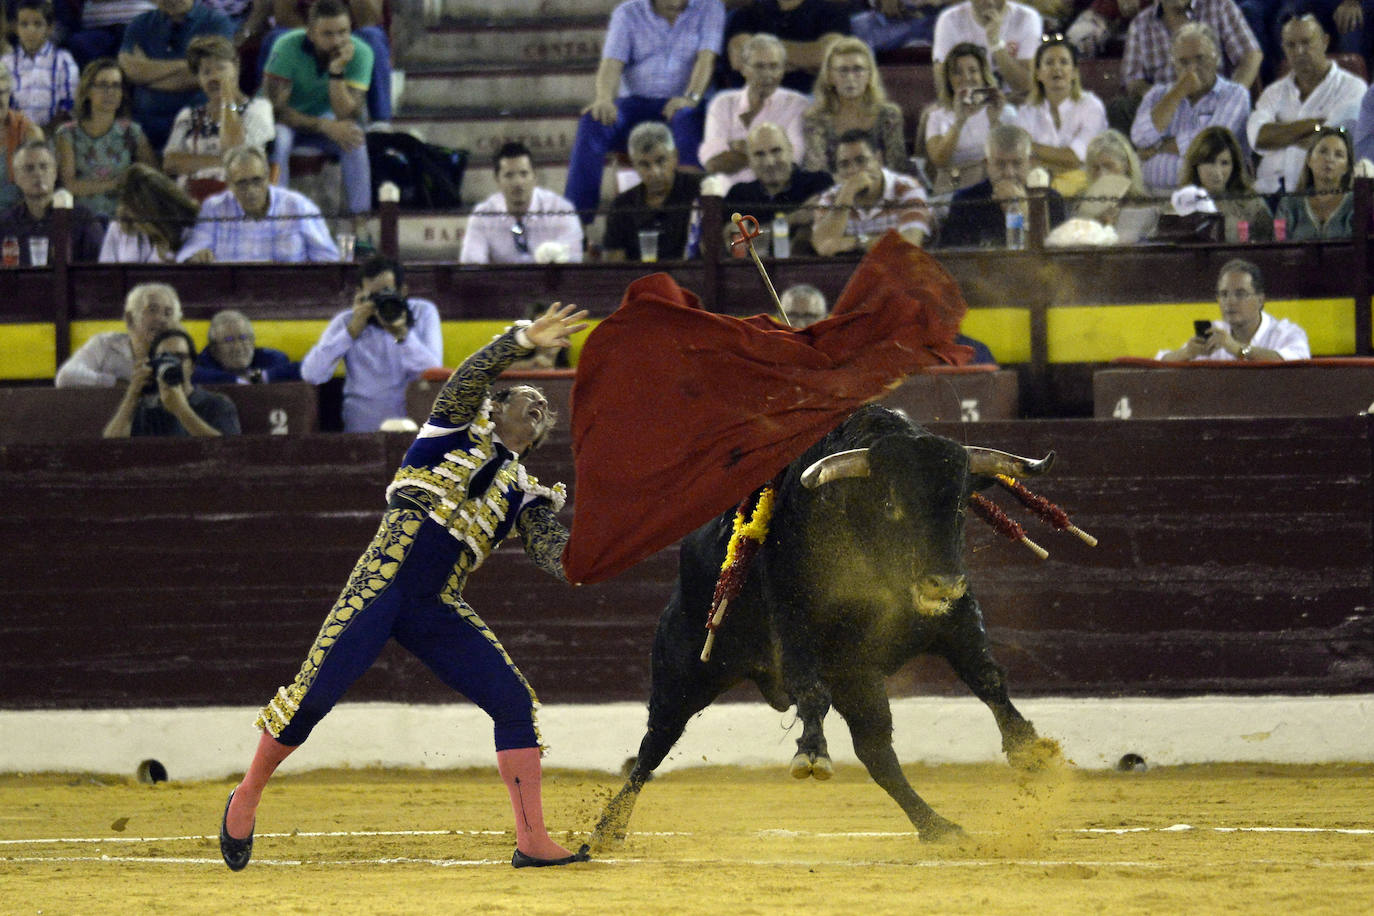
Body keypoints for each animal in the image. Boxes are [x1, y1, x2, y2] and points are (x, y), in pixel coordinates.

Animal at [590, 403, 1060, 851]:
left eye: (961, 505)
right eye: (890, 505)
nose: (942, 582)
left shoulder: (954, 621)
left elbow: (988, 679)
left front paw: (1030, 749)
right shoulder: (798, 631)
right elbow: (811, 691)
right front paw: (812, 754)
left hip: (859, 679)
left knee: (876, 752)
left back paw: (938, 827)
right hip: (685, 674)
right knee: (653, 746)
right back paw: (605, 829)